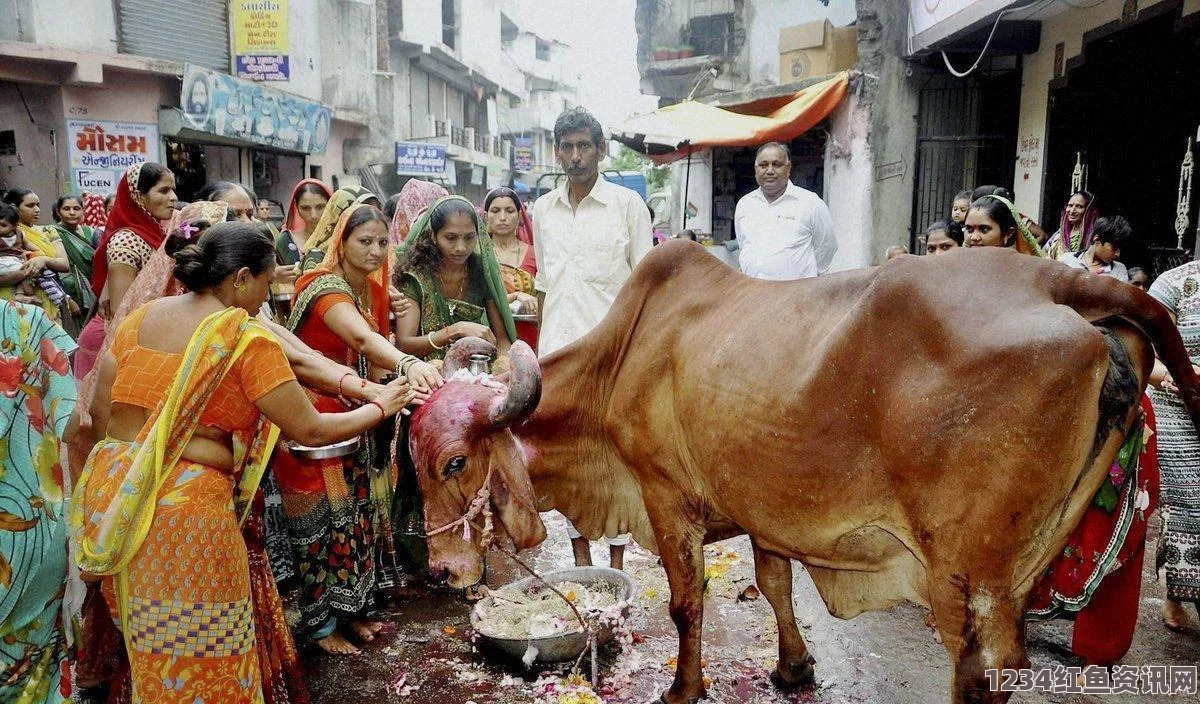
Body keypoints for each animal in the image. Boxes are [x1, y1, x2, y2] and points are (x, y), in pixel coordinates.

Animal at [405, 243, 1200, 704]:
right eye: (410, 462)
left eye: (454, 461)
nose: (442, 570)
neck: (624, 359)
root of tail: (1057, 277)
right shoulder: (765, 511)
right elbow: (776, 584)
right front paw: (793, 670)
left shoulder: (666, 498)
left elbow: (686, 606)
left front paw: (683, 689)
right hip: (1023, 565)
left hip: (965, 575)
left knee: (983, 671)